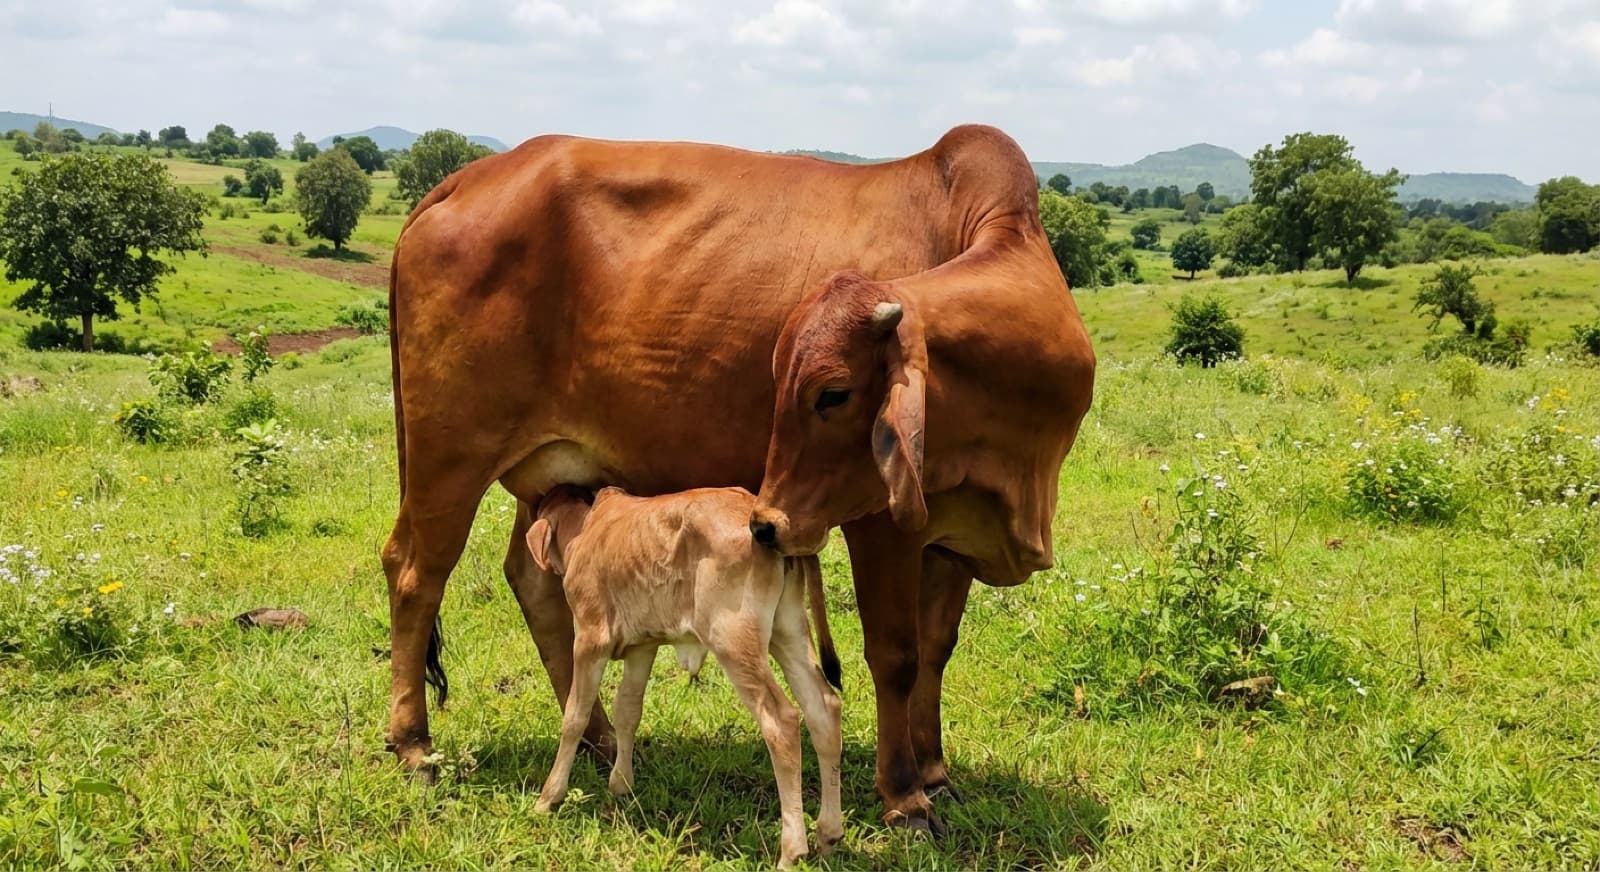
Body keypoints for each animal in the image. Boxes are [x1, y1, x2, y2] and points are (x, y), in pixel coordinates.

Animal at [523, 484, 843, 868]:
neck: (587, 529)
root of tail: (768, 522)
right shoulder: (642, 647)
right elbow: (627, 711)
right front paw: (621, 785)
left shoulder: (589, 639)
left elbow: (575, 716)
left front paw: (548, 796)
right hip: (789, 629)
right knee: (824, 708)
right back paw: (828, 833)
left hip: (733, 641)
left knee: (781, 721)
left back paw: (791, 850)